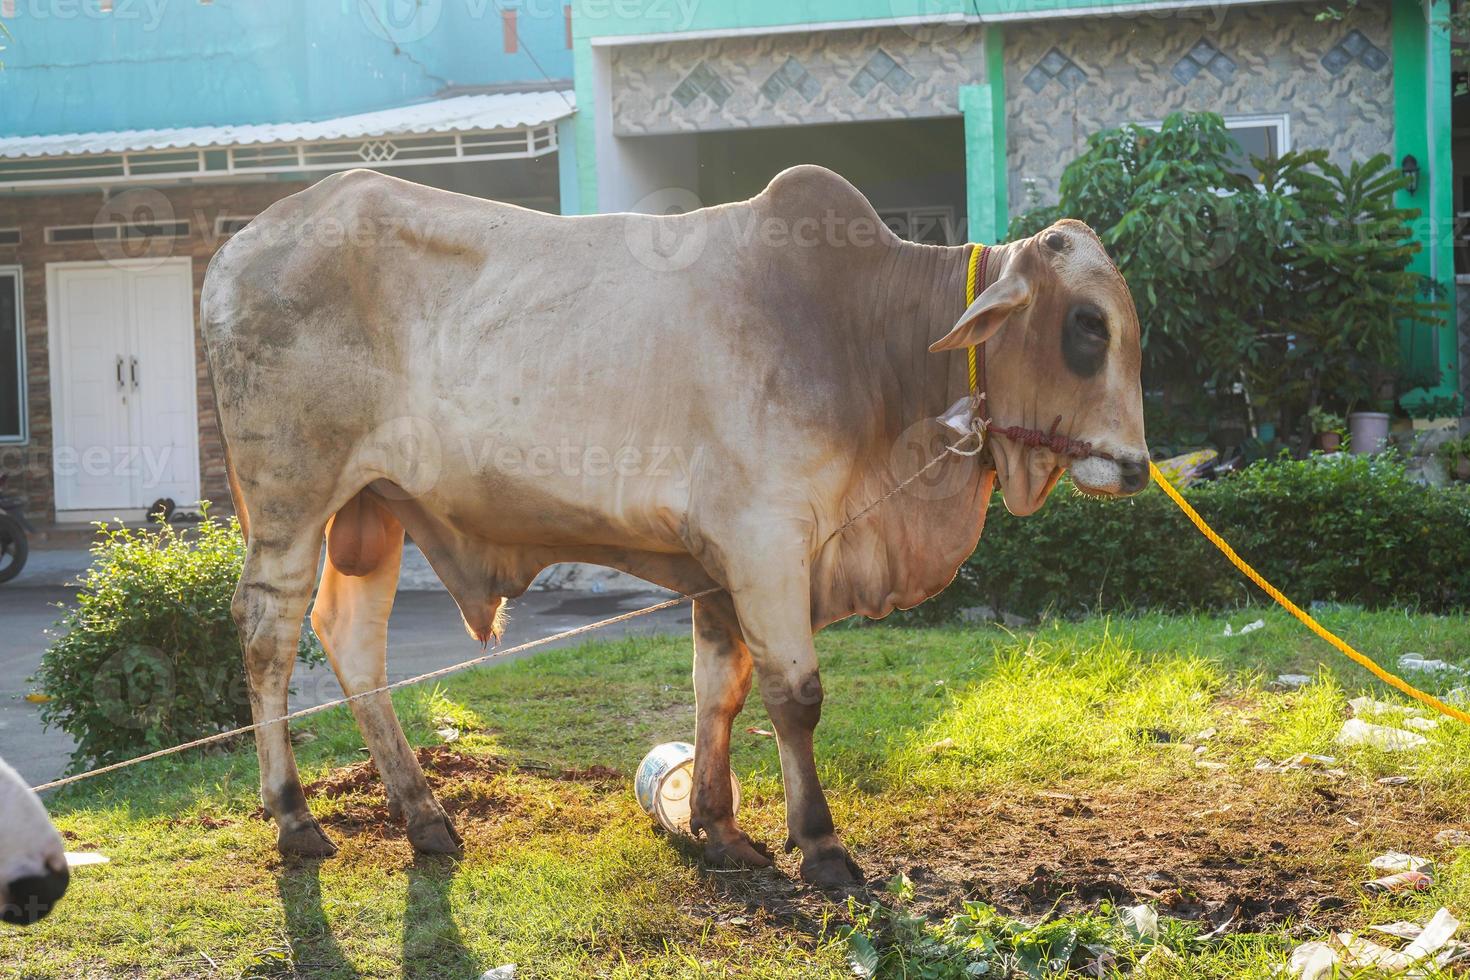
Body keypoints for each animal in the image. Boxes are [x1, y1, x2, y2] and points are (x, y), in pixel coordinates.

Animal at [201, 164, 1146, 887]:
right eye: (1086, 326)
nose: (1136, 467)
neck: (862, 339)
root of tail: (237, 249)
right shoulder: (766, 541)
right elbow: (795, 697)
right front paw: (821, 846)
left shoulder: (723, 564)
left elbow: (719, 688)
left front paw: (717, 827)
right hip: (293, 501)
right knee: (269, 633)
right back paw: (295, 819)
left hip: (375, 507)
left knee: (353, 640)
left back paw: (424, 816)